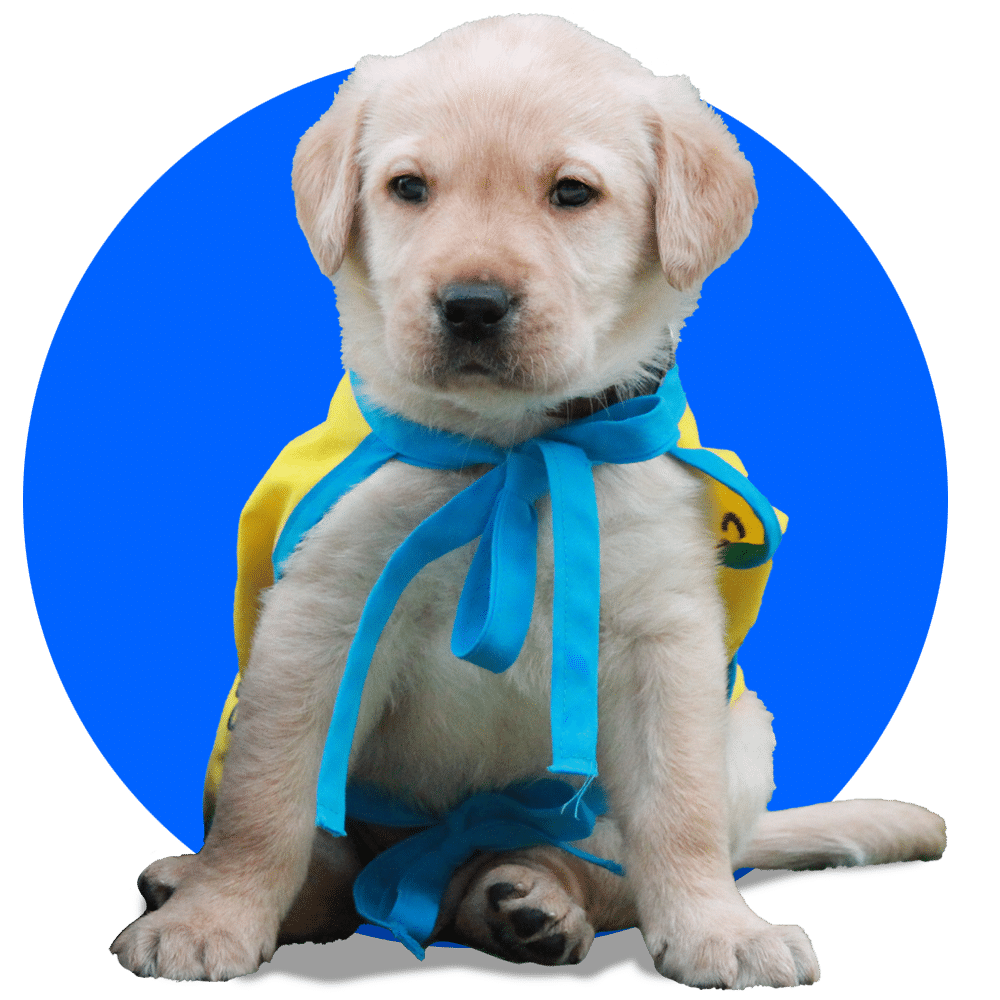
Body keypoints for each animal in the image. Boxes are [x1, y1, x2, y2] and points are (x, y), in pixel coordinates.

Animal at [109, 13, 944, 984]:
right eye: (408, 188)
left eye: (572, 193)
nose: (472, 305)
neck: (516, 451)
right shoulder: (320, 622)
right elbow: (266, 802)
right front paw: (216, 914)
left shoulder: (666, 640)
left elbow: (679, 812)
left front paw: (718, 930)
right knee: (335, 862)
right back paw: (203, 884)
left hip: (740, 740)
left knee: (598, 866)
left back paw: (531, 901)